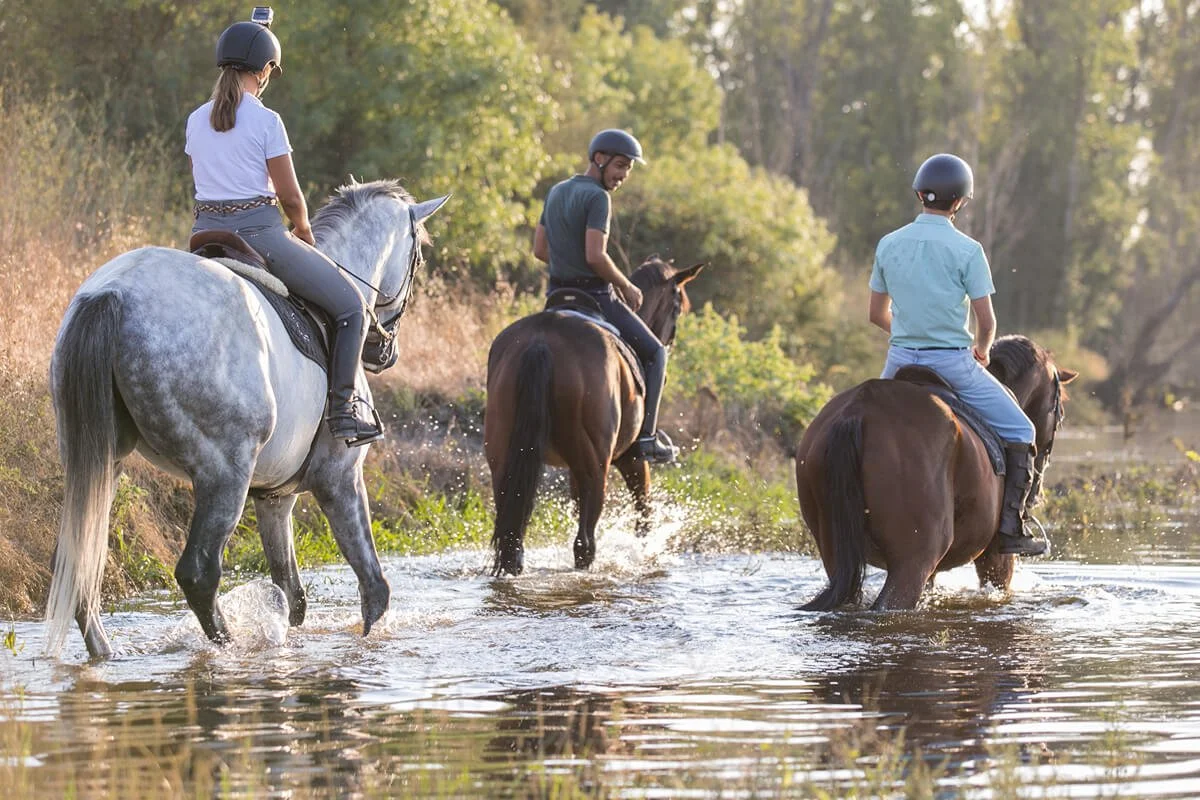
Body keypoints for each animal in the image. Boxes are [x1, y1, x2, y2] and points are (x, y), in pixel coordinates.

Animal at [46, 179, 449, 658]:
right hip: (225, 473)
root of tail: (114, 294)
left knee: (77, 558)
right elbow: (373, 587)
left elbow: (292, 595)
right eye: (418, 257)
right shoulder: (340, 478)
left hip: (102, 458)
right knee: (198, 572)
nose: (382, 353)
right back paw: (229, 647)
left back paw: (106, 654)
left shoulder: (275, 497)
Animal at [484, 258, 704, 576]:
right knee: (584, 544)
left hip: (505, 461)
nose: (670, 339)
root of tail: (541, 341)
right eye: (676, 307)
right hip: (596, 469)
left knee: (514, 540)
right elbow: (644, 511)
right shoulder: (631, 459)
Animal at [795, 335, 1078, 611]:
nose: (1036, 496)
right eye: (1059, 411)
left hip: (834, 552)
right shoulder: (996, 556)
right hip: (913, 562)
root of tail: (858, 411)